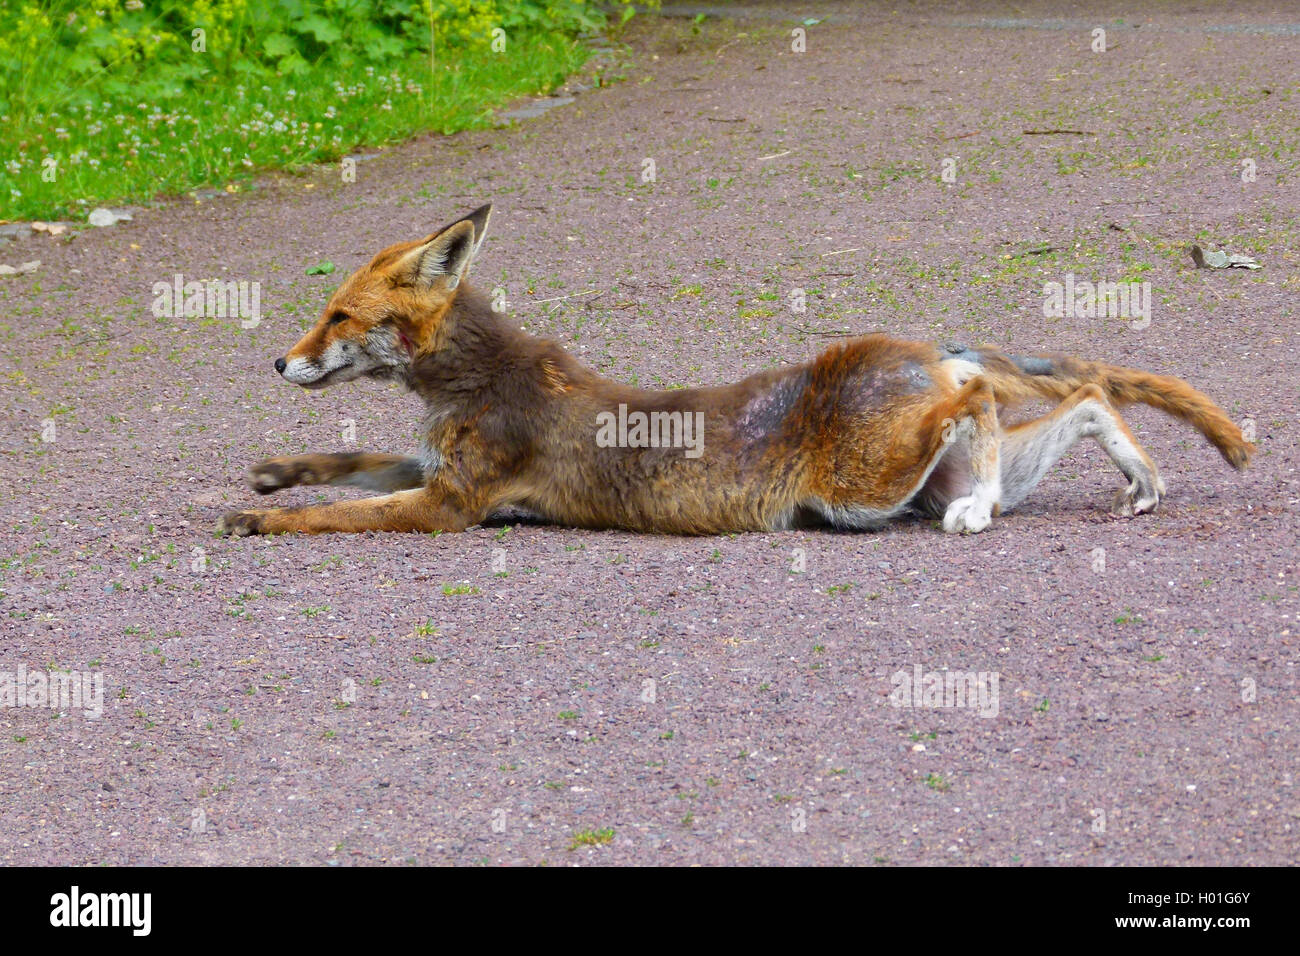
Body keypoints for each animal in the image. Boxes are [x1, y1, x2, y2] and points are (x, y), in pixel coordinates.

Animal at [218, 202, 1253, 538]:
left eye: (337, 315)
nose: (278, 359)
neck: (472, 384)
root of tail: (915, 345)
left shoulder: (451, 504)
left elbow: (339, 513)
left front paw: (265, 519)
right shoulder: (432, 470)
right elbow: (345, 468)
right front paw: (272, 474)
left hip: (862, 485)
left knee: (985, 396)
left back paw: (987, 502)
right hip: (903, 485)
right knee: (1085, 398)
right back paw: (1136, 479)